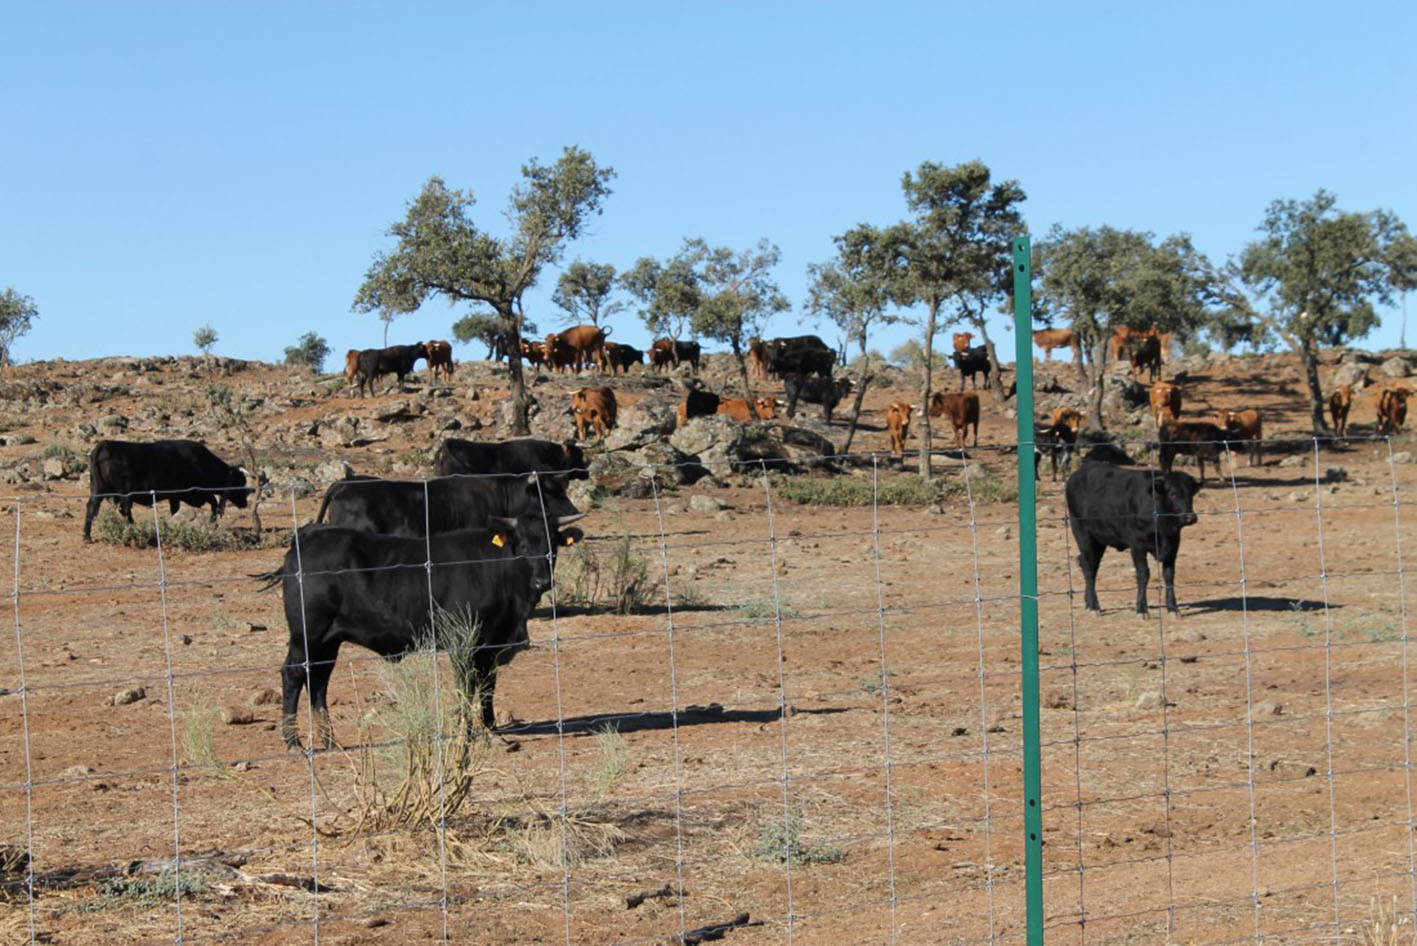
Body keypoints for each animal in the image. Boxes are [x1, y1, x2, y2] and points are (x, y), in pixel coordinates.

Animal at [83, 441, 250, 543]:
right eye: (240, 482)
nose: (245, 503)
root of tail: (104, 444)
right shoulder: (193, 492)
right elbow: (213, 502)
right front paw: (212, 522)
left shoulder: (175, 496)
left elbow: (176, 509)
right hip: (124, 494)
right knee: (125, 511)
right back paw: (133, 530)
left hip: (97, 491)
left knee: (92, 509)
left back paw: (87, 536)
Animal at [257, 509, 583, 747]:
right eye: (524, 546)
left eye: (552, 546)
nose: (542, 581)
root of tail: (310, 536)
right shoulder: (463, 643)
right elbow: (466, 687)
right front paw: (466, 733)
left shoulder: (491, 647)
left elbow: (487, 689)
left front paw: (491, 729)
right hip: (307, 636)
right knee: (293, 675)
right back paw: (294, 741)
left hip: (328, 641)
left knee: (319, 681)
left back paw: (328, 739)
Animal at [1065, 461, 1201, 617]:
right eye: (1173, 493)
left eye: (1191, 494)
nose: (1190, 517)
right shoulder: (1137, 544)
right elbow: (1143, 574)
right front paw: (1141, 609)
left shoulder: (1173, 544)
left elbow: (1169, 574)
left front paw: (1173, 608)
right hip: (1083, 535)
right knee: (1089, 568)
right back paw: (1094, 606)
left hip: (1099, 541)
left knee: (1089, 565)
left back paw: (1088, 603)